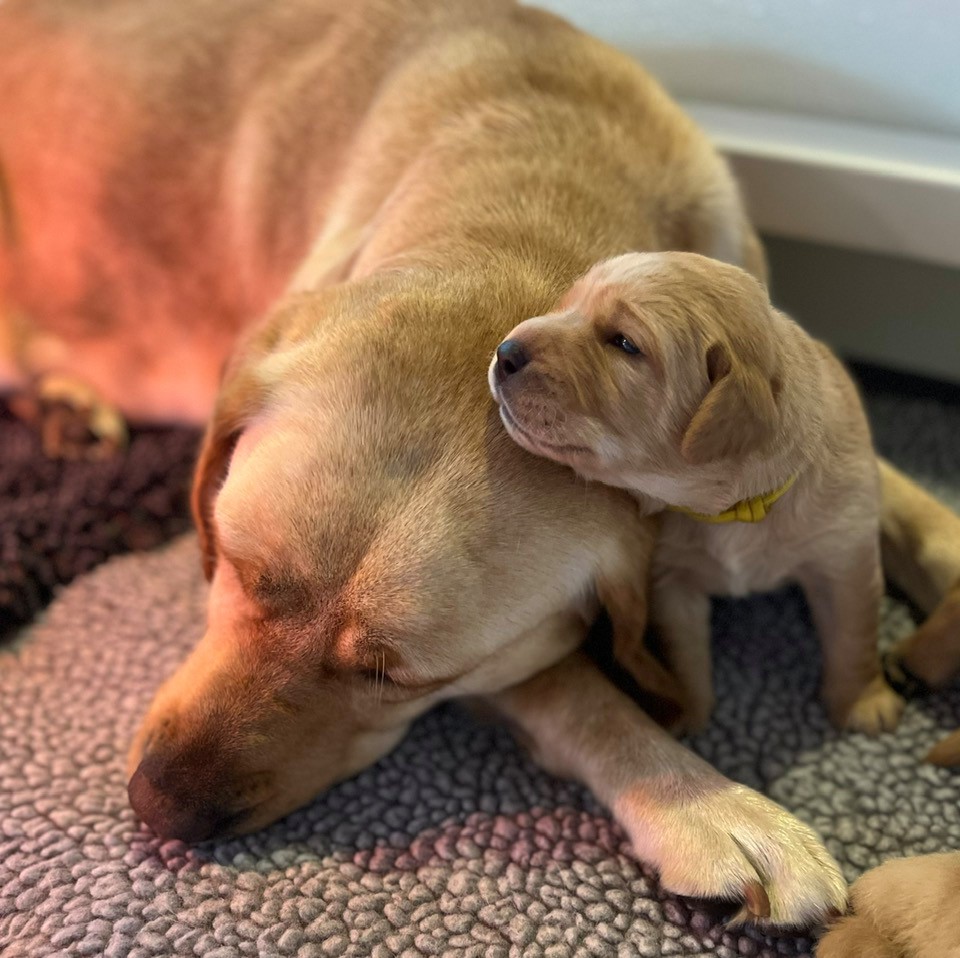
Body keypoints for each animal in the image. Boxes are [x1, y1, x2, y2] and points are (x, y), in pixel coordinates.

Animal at [492, 253, 904, 736]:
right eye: (566, 304)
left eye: (625, 343)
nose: (505, 351)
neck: (736, 508)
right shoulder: (671, 579)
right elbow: (683, 653)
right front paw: (689, 714)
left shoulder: (846, 554)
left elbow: (854, 633)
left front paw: (864, 701)